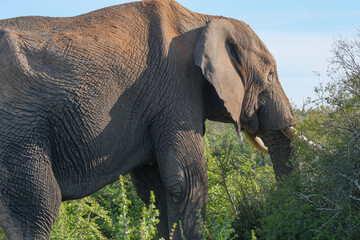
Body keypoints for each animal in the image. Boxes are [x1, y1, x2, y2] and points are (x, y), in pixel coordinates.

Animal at [0, 0, 296, 239]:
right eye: (270, 75)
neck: (204, 19)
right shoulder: (177, 88)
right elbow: (186, 181)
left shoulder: (152, 105)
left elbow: (156, 189)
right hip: (18, 127)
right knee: (39, 205)